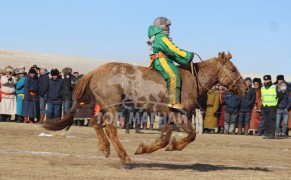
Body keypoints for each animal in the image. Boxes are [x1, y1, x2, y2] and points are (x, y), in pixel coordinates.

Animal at [44, 51, 249, 162]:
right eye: (232, 69)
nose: (245, 88)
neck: (193, 79)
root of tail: (94, 72)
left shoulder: (169, 116)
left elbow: (164, 139)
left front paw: (145, 148)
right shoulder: (179, 114)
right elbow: (191, 135)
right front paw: (174, 146)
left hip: (105, 107)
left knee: (95, 122)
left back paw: (105, 148)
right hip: (112, 108)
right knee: (110, 129)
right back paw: (123, 156)